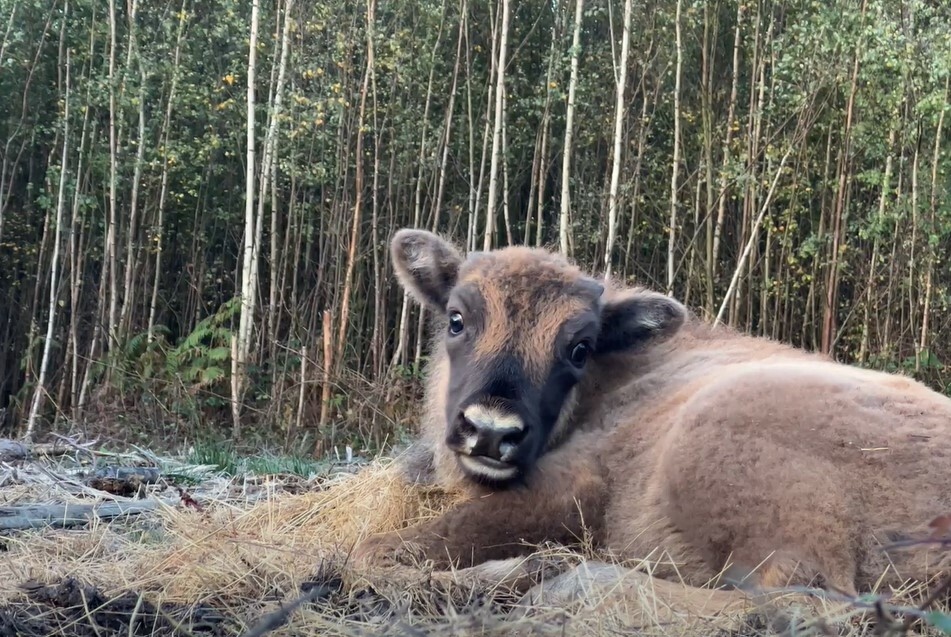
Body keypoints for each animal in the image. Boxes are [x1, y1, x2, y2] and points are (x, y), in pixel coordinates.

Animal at [349, 228, 951, 624]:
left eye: (579, 348)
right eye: (456, 319)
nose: (492, 432)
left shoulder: (569, 486)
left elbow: (370, 551)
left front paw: (525, 569)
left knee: (803, 600)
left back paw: (562, 584)